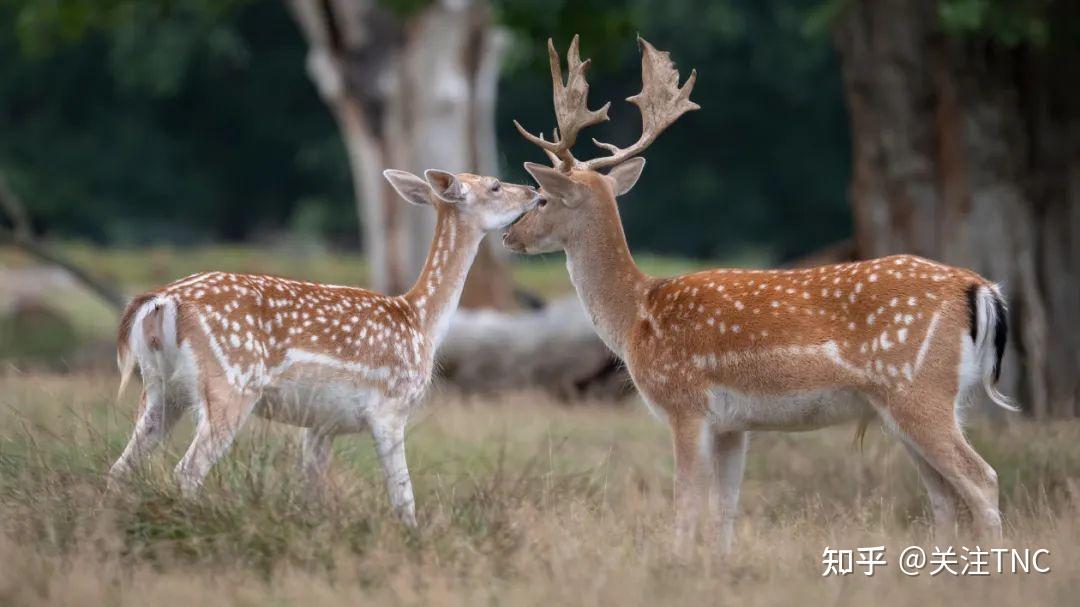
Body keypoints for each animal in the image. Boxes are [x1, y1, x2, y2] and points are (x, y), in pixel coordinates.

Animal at [109, 167, 540, 522]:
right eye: (495, 185)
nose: (534, 191)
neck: (418, 319)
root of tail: (161, 301)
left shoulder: (320, 424)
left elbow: (311, 494)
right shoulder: (390, 408)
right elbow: (403, 497)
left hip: (161, 389)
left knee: (121, 468)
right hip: (231, 381)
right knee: (186, 470)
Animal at [501, 36, 1015, 548]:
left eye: (541, 198)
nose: (509, 235)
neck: (636, 315)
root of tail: (979, 288)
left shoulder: (685, 403)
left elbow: (686, 506)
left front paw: (676, 560)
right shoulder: (732, 424)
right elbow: (724, 510)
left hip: (918, 389)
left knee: (983, 479)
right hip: (908, 405)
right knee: (944, 497)